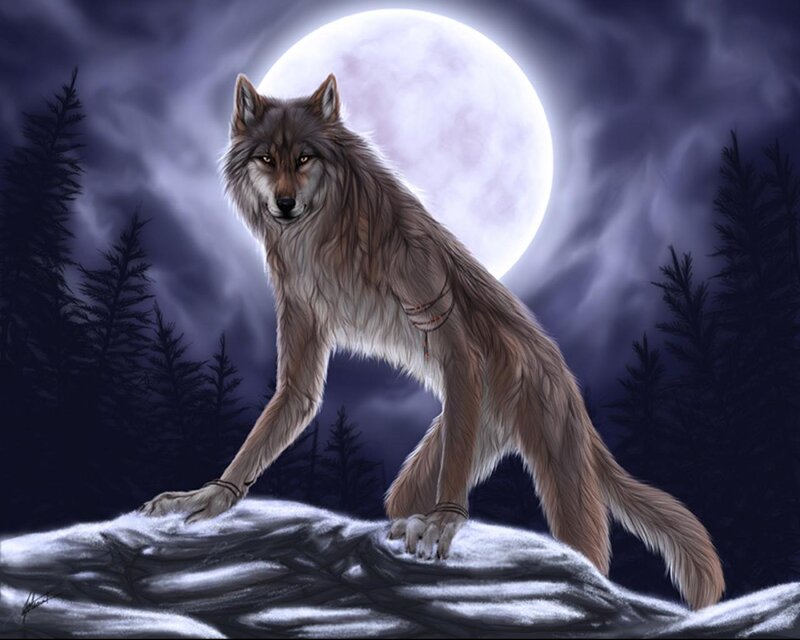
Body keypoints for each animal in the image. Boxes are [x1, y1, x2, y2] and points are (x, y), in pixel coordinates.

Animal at [141, 73, 725, 609]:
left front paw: (444, 522)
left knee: (588, 551)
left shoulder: (442, 319)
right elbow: (290, 406)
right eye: (266, 158)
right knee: (404, 498)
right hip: (442, 453)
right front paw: (210, 494)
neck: (323, 240)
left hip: (549, 471)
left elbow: (456, 353)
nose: (284, 204)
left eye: (304, 158)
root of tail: (567, 378)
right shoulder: (300, 329)